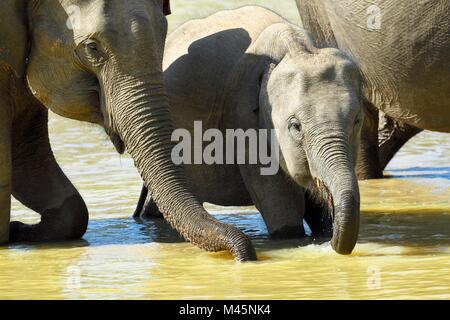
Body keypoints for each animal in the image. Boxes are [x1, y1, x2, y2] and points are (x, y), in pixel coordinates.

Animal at [0, 0, 256, 262]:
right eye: (92, 48)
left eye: (164, 33)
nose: (244, 257)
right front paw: (12, 231)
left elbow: (29, 156)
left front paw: (18, 229)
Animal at [135, 6, 364, 255]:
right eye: (295, 126)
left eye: (357, 121)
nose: (330, 243)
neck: (297, 49)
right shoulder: (243, 117)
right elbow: (280, 202)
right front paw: (292, 237)